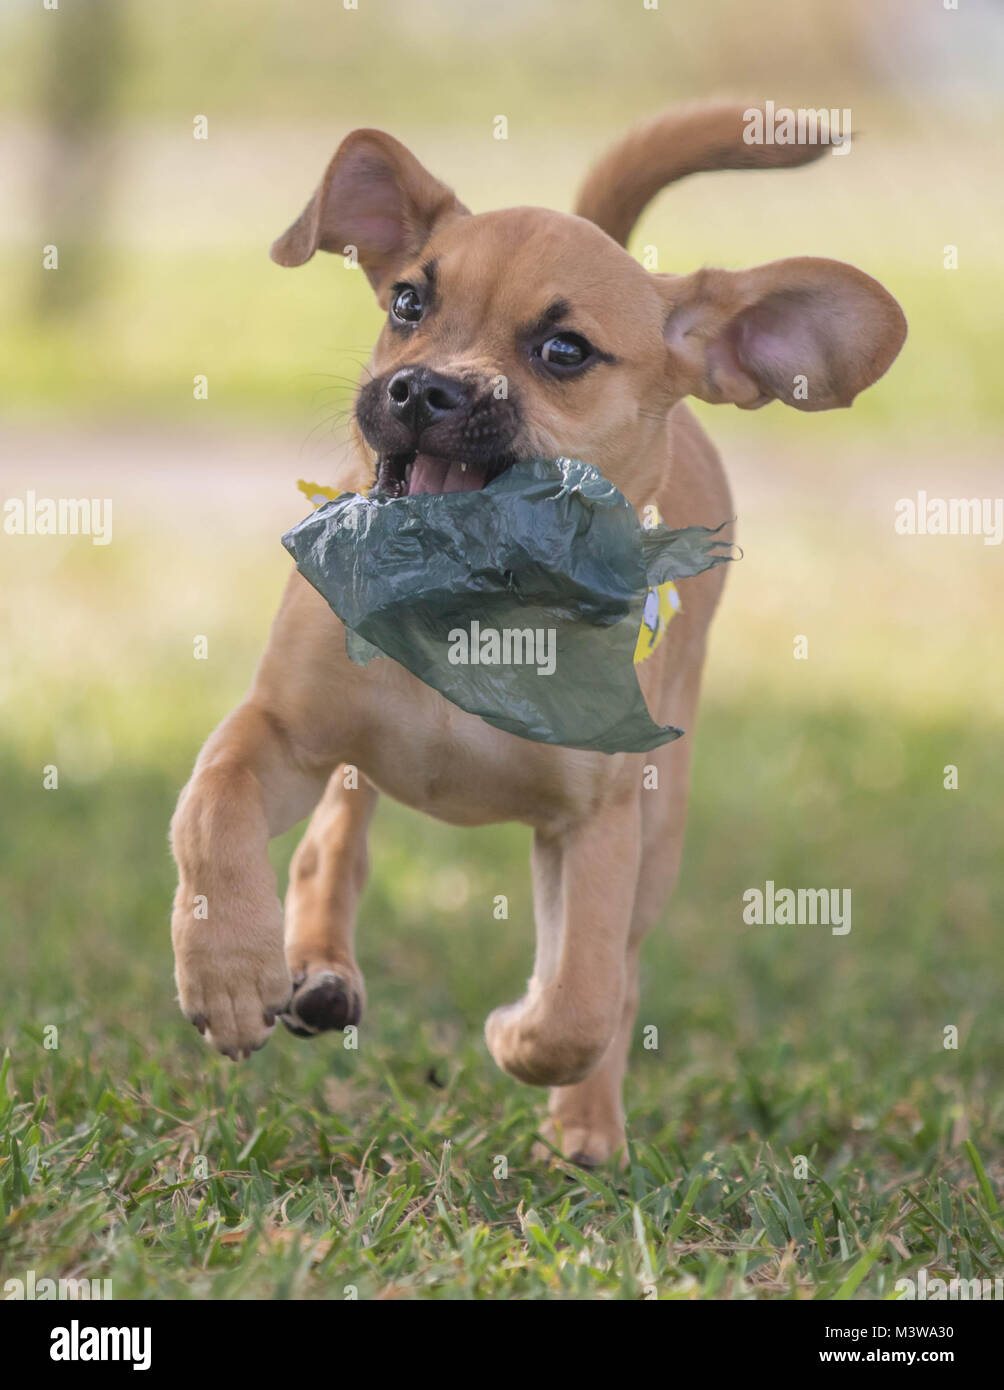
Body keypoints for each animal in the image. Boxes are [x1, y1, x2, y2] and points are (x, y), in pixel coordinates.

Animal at [170, 102, 901, 1162]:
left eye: (565, 353)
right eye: (407, 303)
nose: (420, 390)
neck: (471, 615)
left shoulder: (595, 827)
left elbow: (583, 1000)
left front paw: (524, 1040)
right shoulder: (280, 730)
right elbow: (213, 811)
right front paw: (227, 970)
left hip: (660, 823)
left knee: (619, 976)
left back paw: (588, 1128)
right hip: (353, 757)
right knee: (331, 844)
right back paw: (317, 967)